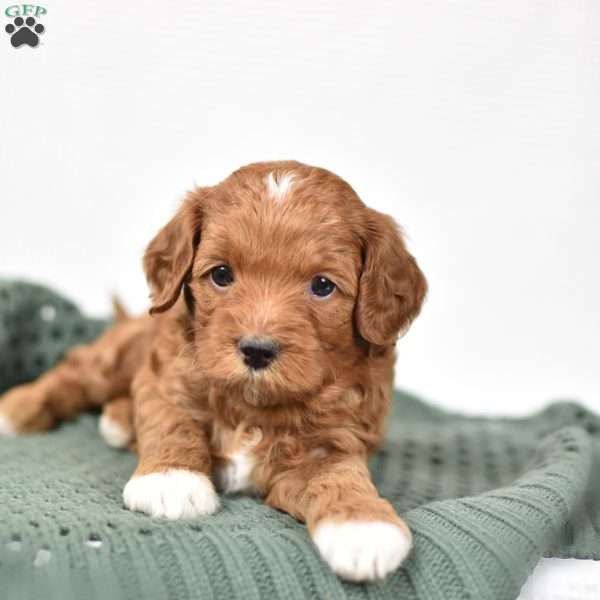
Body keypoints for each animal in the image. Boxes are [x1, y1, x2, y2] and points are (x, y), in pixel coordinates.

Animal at [0, 161, 426, 580]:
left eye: (322, 285)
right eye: (221, 274)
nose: (256, 350)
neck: (253, 404)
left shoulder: (335, 440)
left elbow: (338, 476)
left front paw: (364, 526)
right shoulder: (163, 379)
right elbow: (173, 422)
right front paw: (171, 480)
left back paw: (119, 420)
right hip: (118, 357)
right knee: (76, 370)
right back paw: (17, 411)